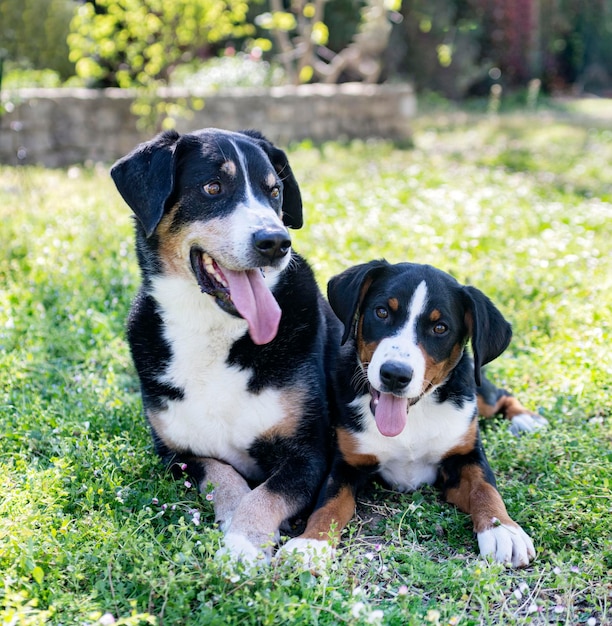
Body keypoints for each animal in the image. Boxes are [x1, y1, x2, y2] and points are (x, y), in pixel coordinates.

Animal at [284, 258, 536, 564]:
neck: (413, 417)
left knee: (499, 395)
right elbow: (329, 504)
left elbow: (485, 489)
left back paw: (526, 419)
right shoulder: (346, 464)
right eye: (381, 312)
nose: (395, 374)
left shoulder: (466, 456)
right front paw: (310, 544)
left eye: (440, 328)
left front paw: (504, 531)